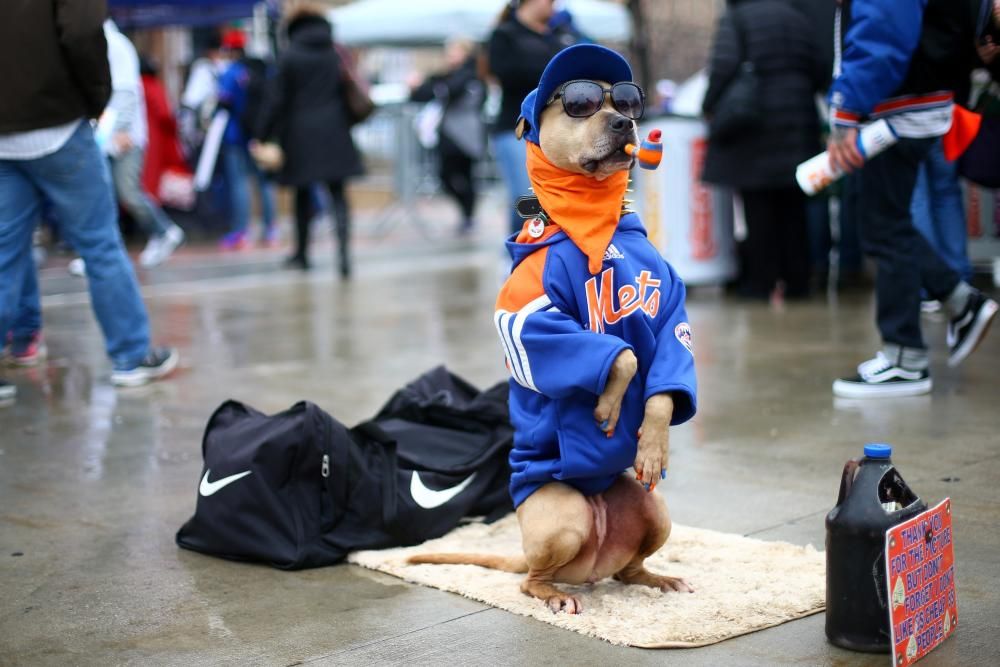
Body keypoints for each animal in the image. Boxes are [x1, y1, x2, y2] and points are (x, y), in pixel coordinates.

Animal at [406, 44, 696, 616]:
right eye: (579, 104)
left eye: (624, 100)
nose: (624, 120)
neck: (591, 223)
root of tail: (589, 569)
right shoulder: (533, 318)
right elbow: (618, 353)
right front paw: (608, 404)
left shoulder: (671, 310)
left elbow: (661, 387)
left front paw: (652, 443)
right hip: (560, 520)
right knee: (530, 580)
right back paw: (552, 594)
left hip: (655, 511)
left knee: (631, 567)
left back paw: (654, 579)